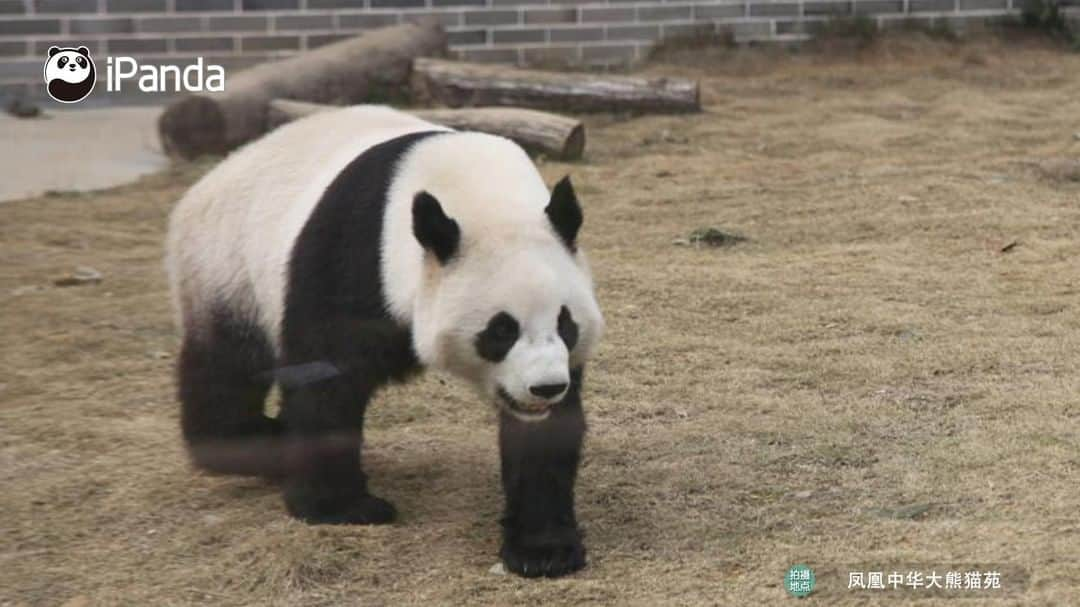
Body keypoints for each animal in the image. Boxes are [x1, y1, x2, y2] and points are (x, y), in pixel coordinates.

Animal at [169, 105, 609, 574]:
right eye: (501, 329)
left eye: (566, 324)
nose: (545, 387)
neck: (480, 194)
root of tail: (207, 182)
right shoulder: (349, 255)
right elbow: (324, 381)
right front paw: (342, 508)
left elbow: (545, 437)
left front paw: (543, 549)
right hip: (227, 269)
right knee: (226, 370)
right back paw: (257, 441)